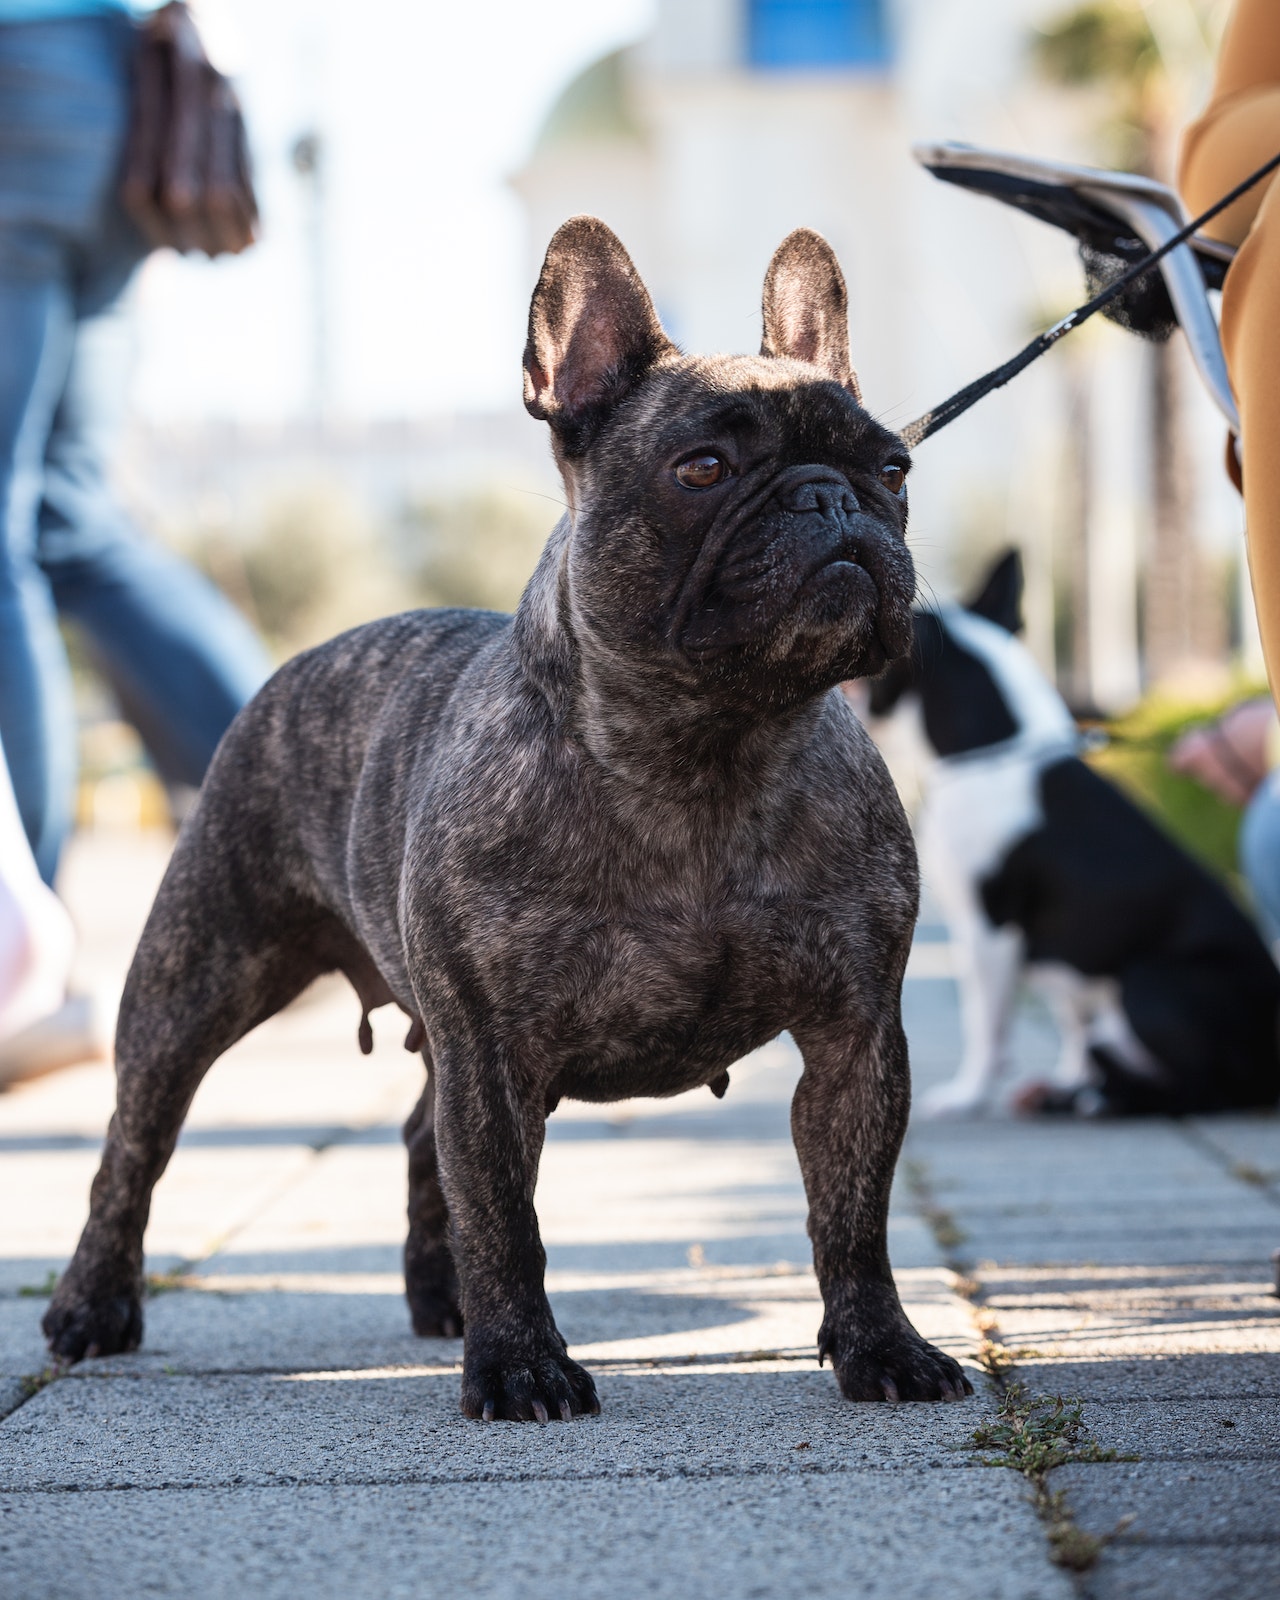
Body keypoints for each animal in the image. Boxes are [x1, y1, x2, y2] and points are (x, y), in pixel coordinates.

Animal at [857, 556, 1280, 1120]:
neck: (992, 751)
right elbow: (1071, 1023)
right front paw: (1067, 1076)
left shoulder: (989, 925)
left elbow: (984, 1021)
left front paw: (967, 1094)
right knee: (1108, 1048)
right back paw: (1073, 1094)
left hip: (1150, 980)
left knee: (1210, 1089)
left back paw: (1110, 1102)